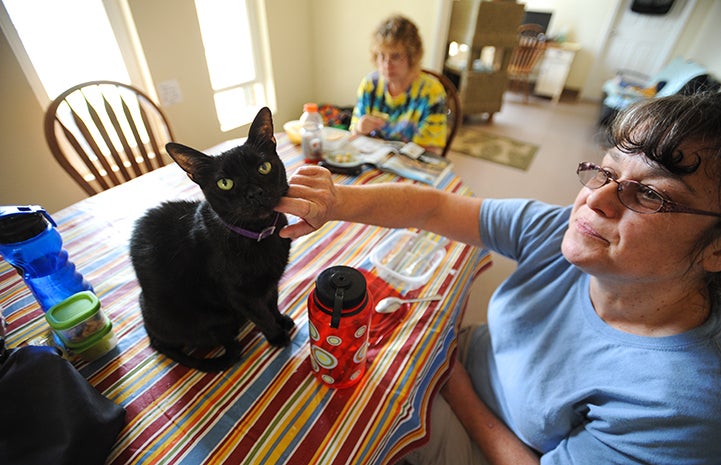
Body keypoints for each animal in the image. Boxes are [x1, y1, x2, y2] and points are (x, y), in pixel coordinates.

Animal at [129, 107, 292, 372]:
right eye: (225, 183)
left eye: (264, 167)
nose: (254, 193)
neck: (260, 235)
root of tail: (151, 334)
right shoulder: (240, 294)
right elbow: (261, 314)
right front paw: (276, 335)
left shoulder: (272, 281)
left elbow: (272, 302)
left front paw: (281, 320)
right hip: (202, 317)